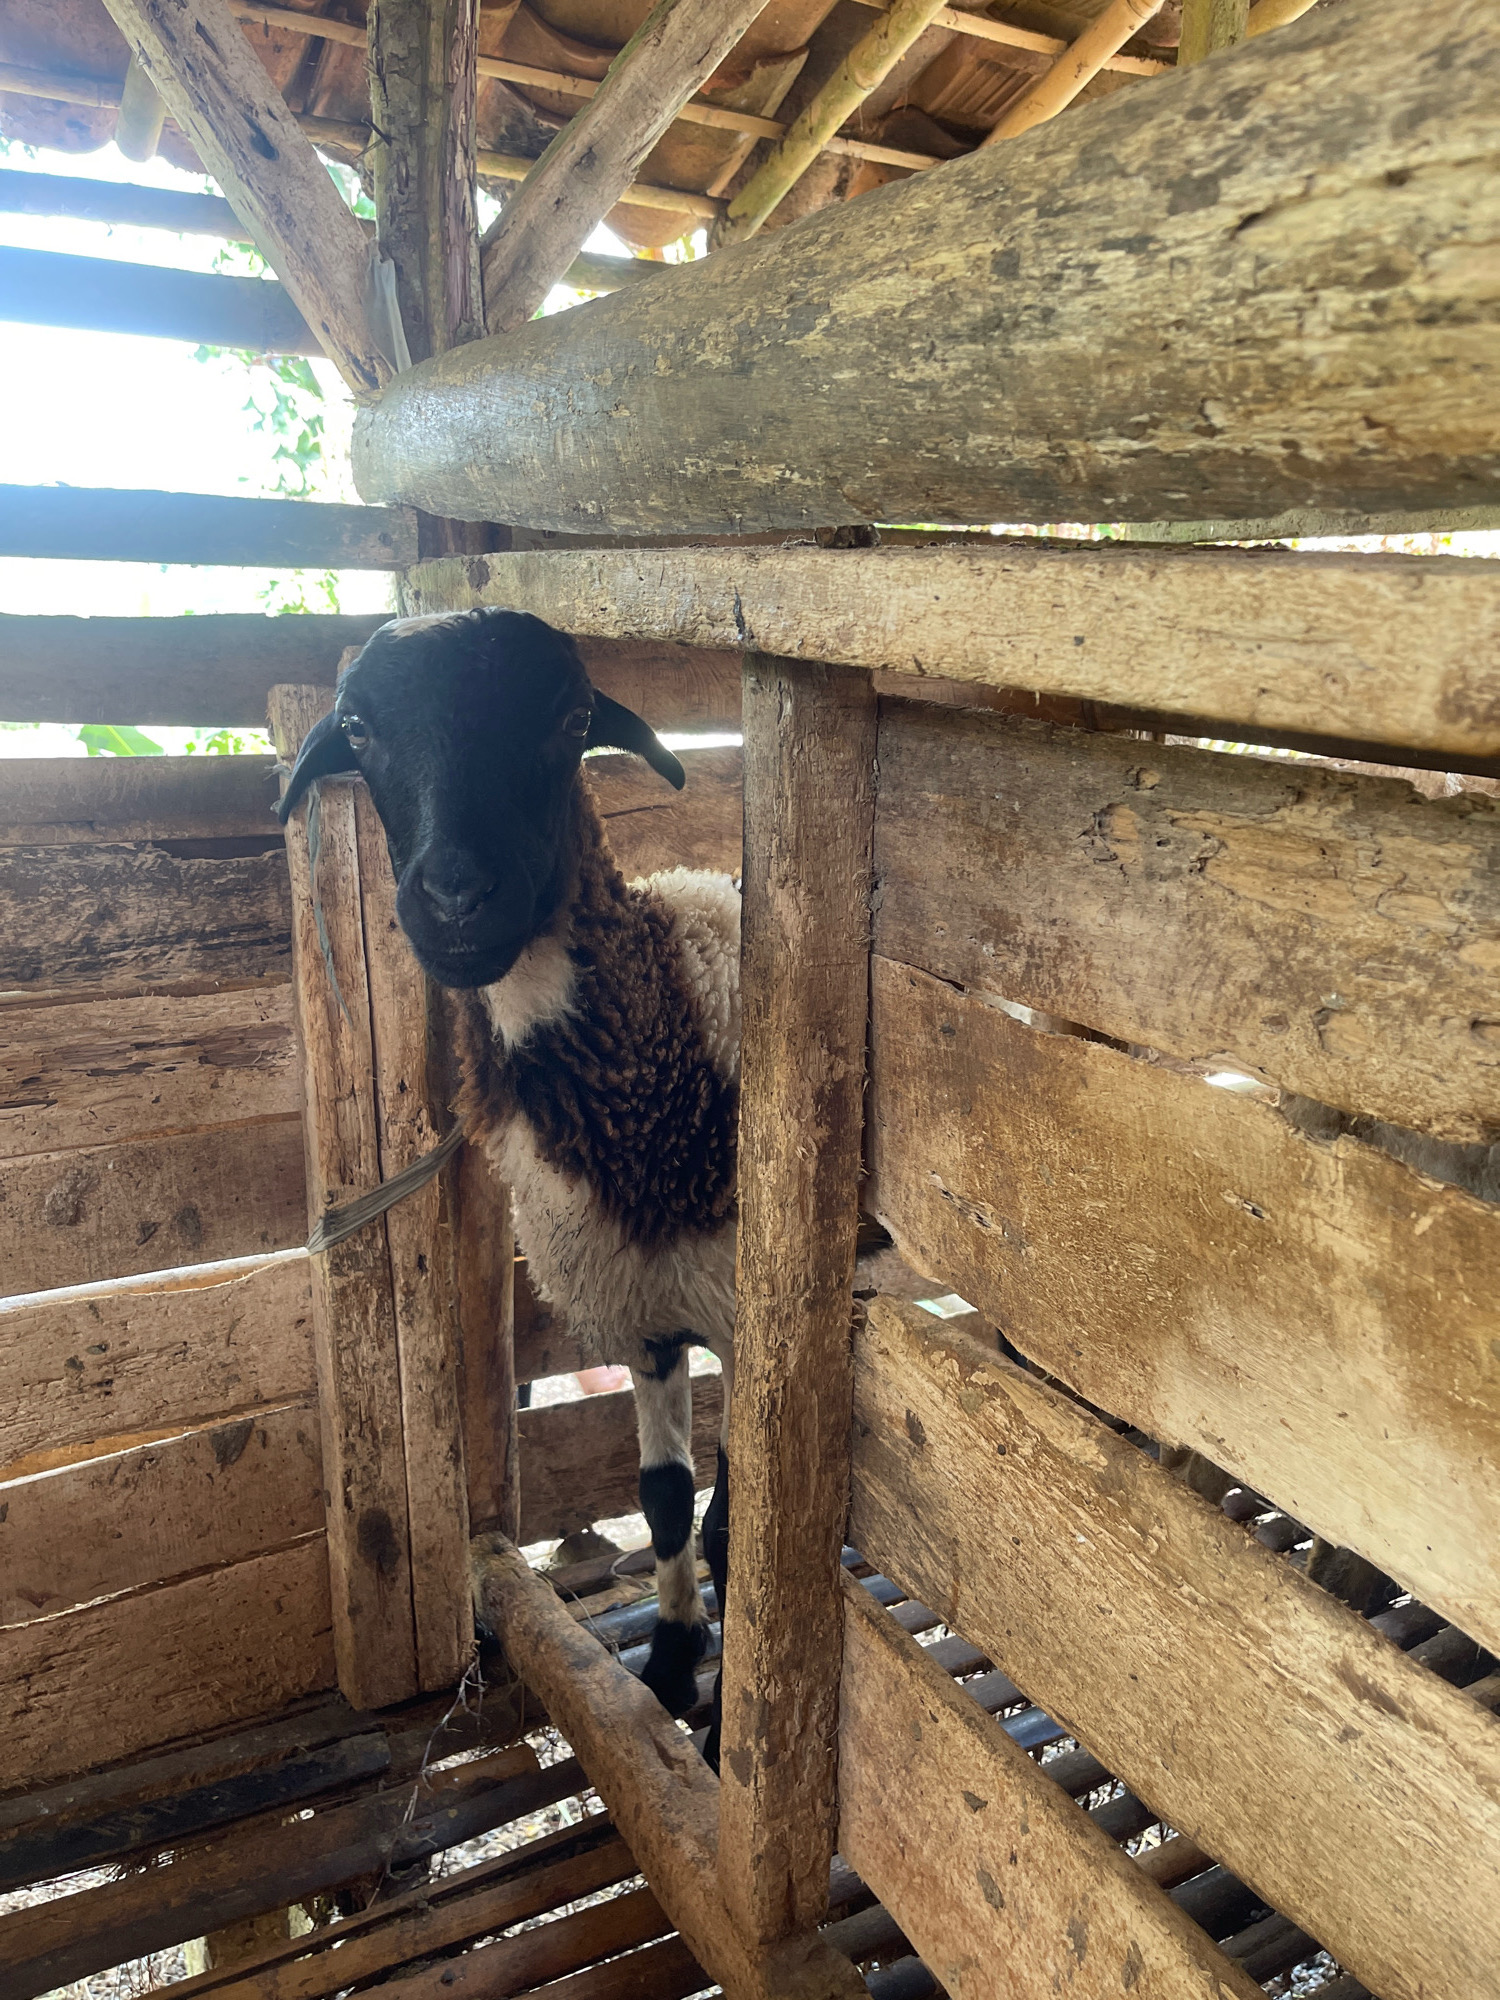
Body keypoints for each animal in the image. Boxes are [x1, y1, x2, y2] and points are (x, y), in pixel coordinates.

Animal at [277, 606, 739, 1763]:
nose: (453, 898)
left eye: (573, 719)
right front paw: (672, 1666)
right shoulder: (642, 1307)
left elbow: (737, 1525)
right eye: (357, 727)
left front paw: (730, 1742)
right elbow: (665, 1502)